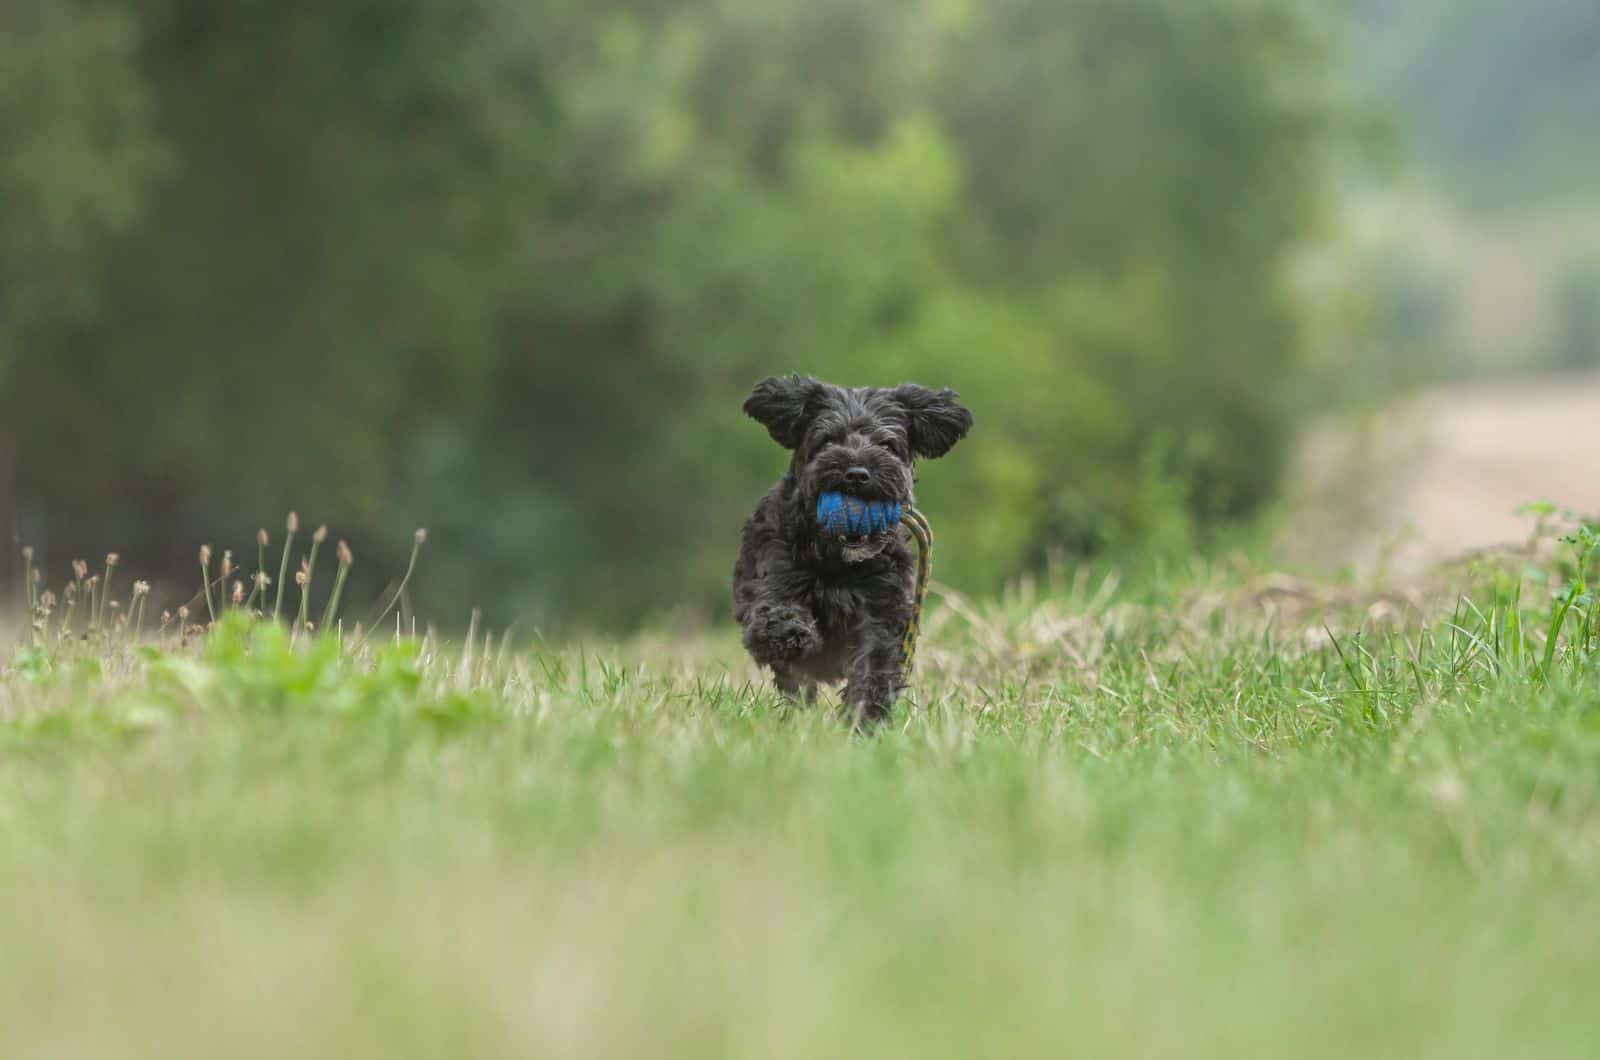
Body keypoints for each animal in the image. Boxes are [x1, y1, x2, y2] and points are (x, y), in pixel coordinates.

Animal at [729, 376, 966, 730]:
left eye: (887, 445)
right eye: (828, 440)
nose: (857, 473)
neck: (836, 561)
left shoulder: (881, 609)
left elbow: (874, 666)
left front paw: (865, 719)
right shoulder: (772, 573)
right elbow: (774, 610)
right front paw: (789, 631)